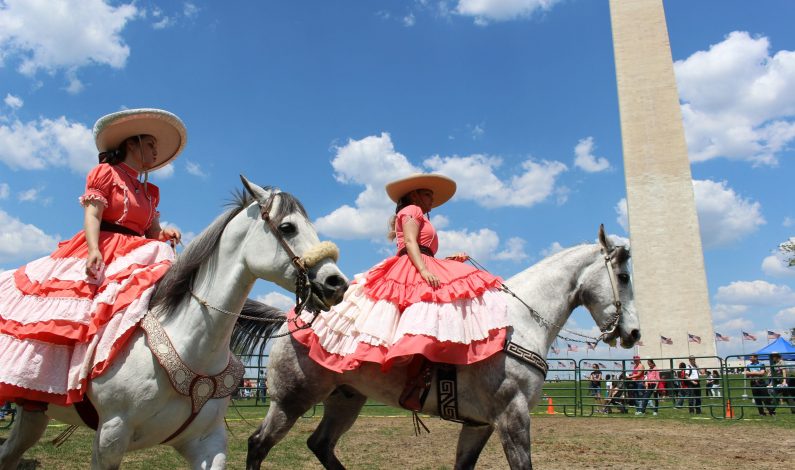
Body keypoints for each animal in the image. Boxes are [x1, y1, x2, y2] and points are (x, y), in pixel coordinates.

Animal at [0, 177, 348, 470]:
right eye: (287, 227)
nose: (336, 284)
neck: (190, 346)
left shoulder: (208, 443)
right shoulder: (110, 438)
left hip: (32, 416)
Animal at [235, 226, 640, 468]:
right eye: (623, 276)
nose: (633, 333)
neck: (519, 322)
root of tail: (292, 317)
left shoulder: (479, 424)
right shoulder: (512, 418)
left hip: (345, 399)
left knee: (320, 444)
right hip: (291, 401)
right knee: (258, 444)